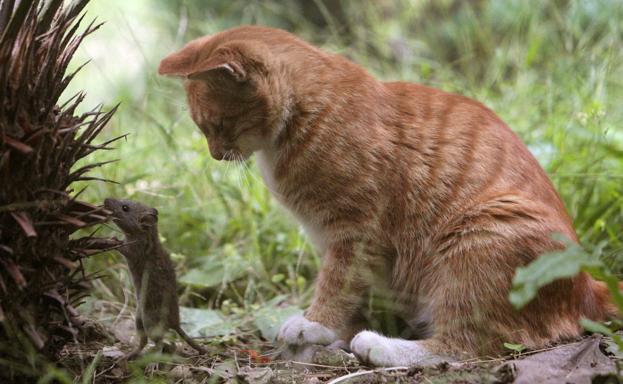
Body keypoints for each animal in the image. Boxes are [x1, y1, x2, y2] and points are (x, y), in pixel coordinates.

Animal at [158, 24, 616, 366]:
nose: (216, 154)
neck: (304, 114)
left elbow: (336, 284)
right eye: (203, 129)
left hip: (479, 240)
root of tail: (590, 287)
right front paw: (331, 335)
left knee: (466, 346)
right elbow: (349, 292)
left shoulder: (355, 231)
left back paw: (380, 345)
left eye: (216, 125)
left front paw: (315, 324)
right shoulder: (332, 238)